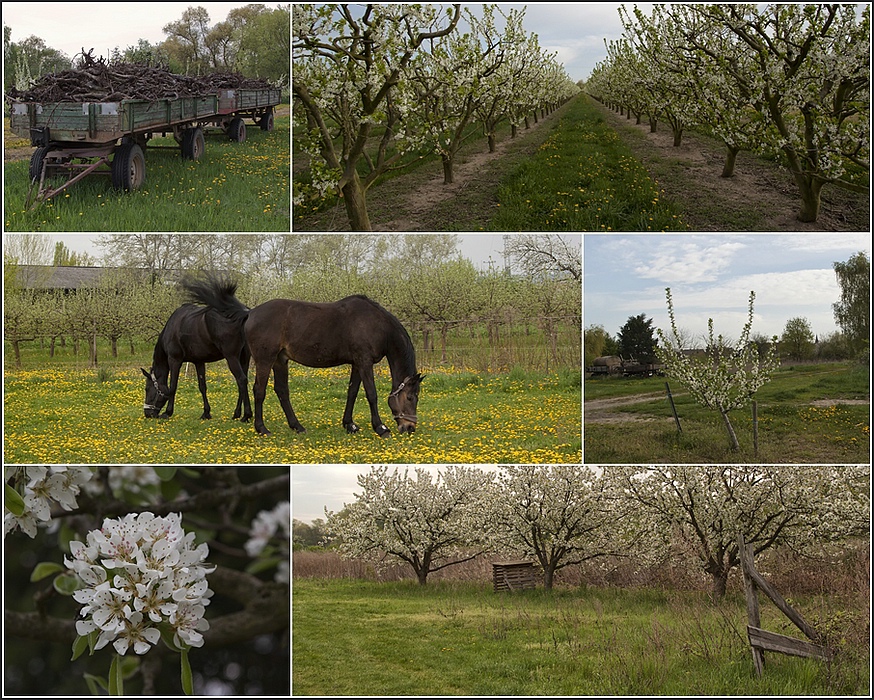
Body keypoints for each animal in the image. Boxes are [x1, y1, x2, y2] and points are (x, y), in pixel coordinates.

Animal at [242, 296, 422, 438]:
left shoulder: (357, 364)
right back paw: (262, 429)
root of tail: (251, 313)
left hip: (280, 360)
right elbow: (371, 394)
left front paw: (350, 424)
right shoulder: (364, 362)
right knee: (259, 391)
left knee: (282, 391)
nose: (410, 427)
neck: (377, 325)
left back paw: (297, 426)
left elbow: (352, 392)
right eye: (410, 397)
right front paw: (381, 428)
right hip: (265, 360)